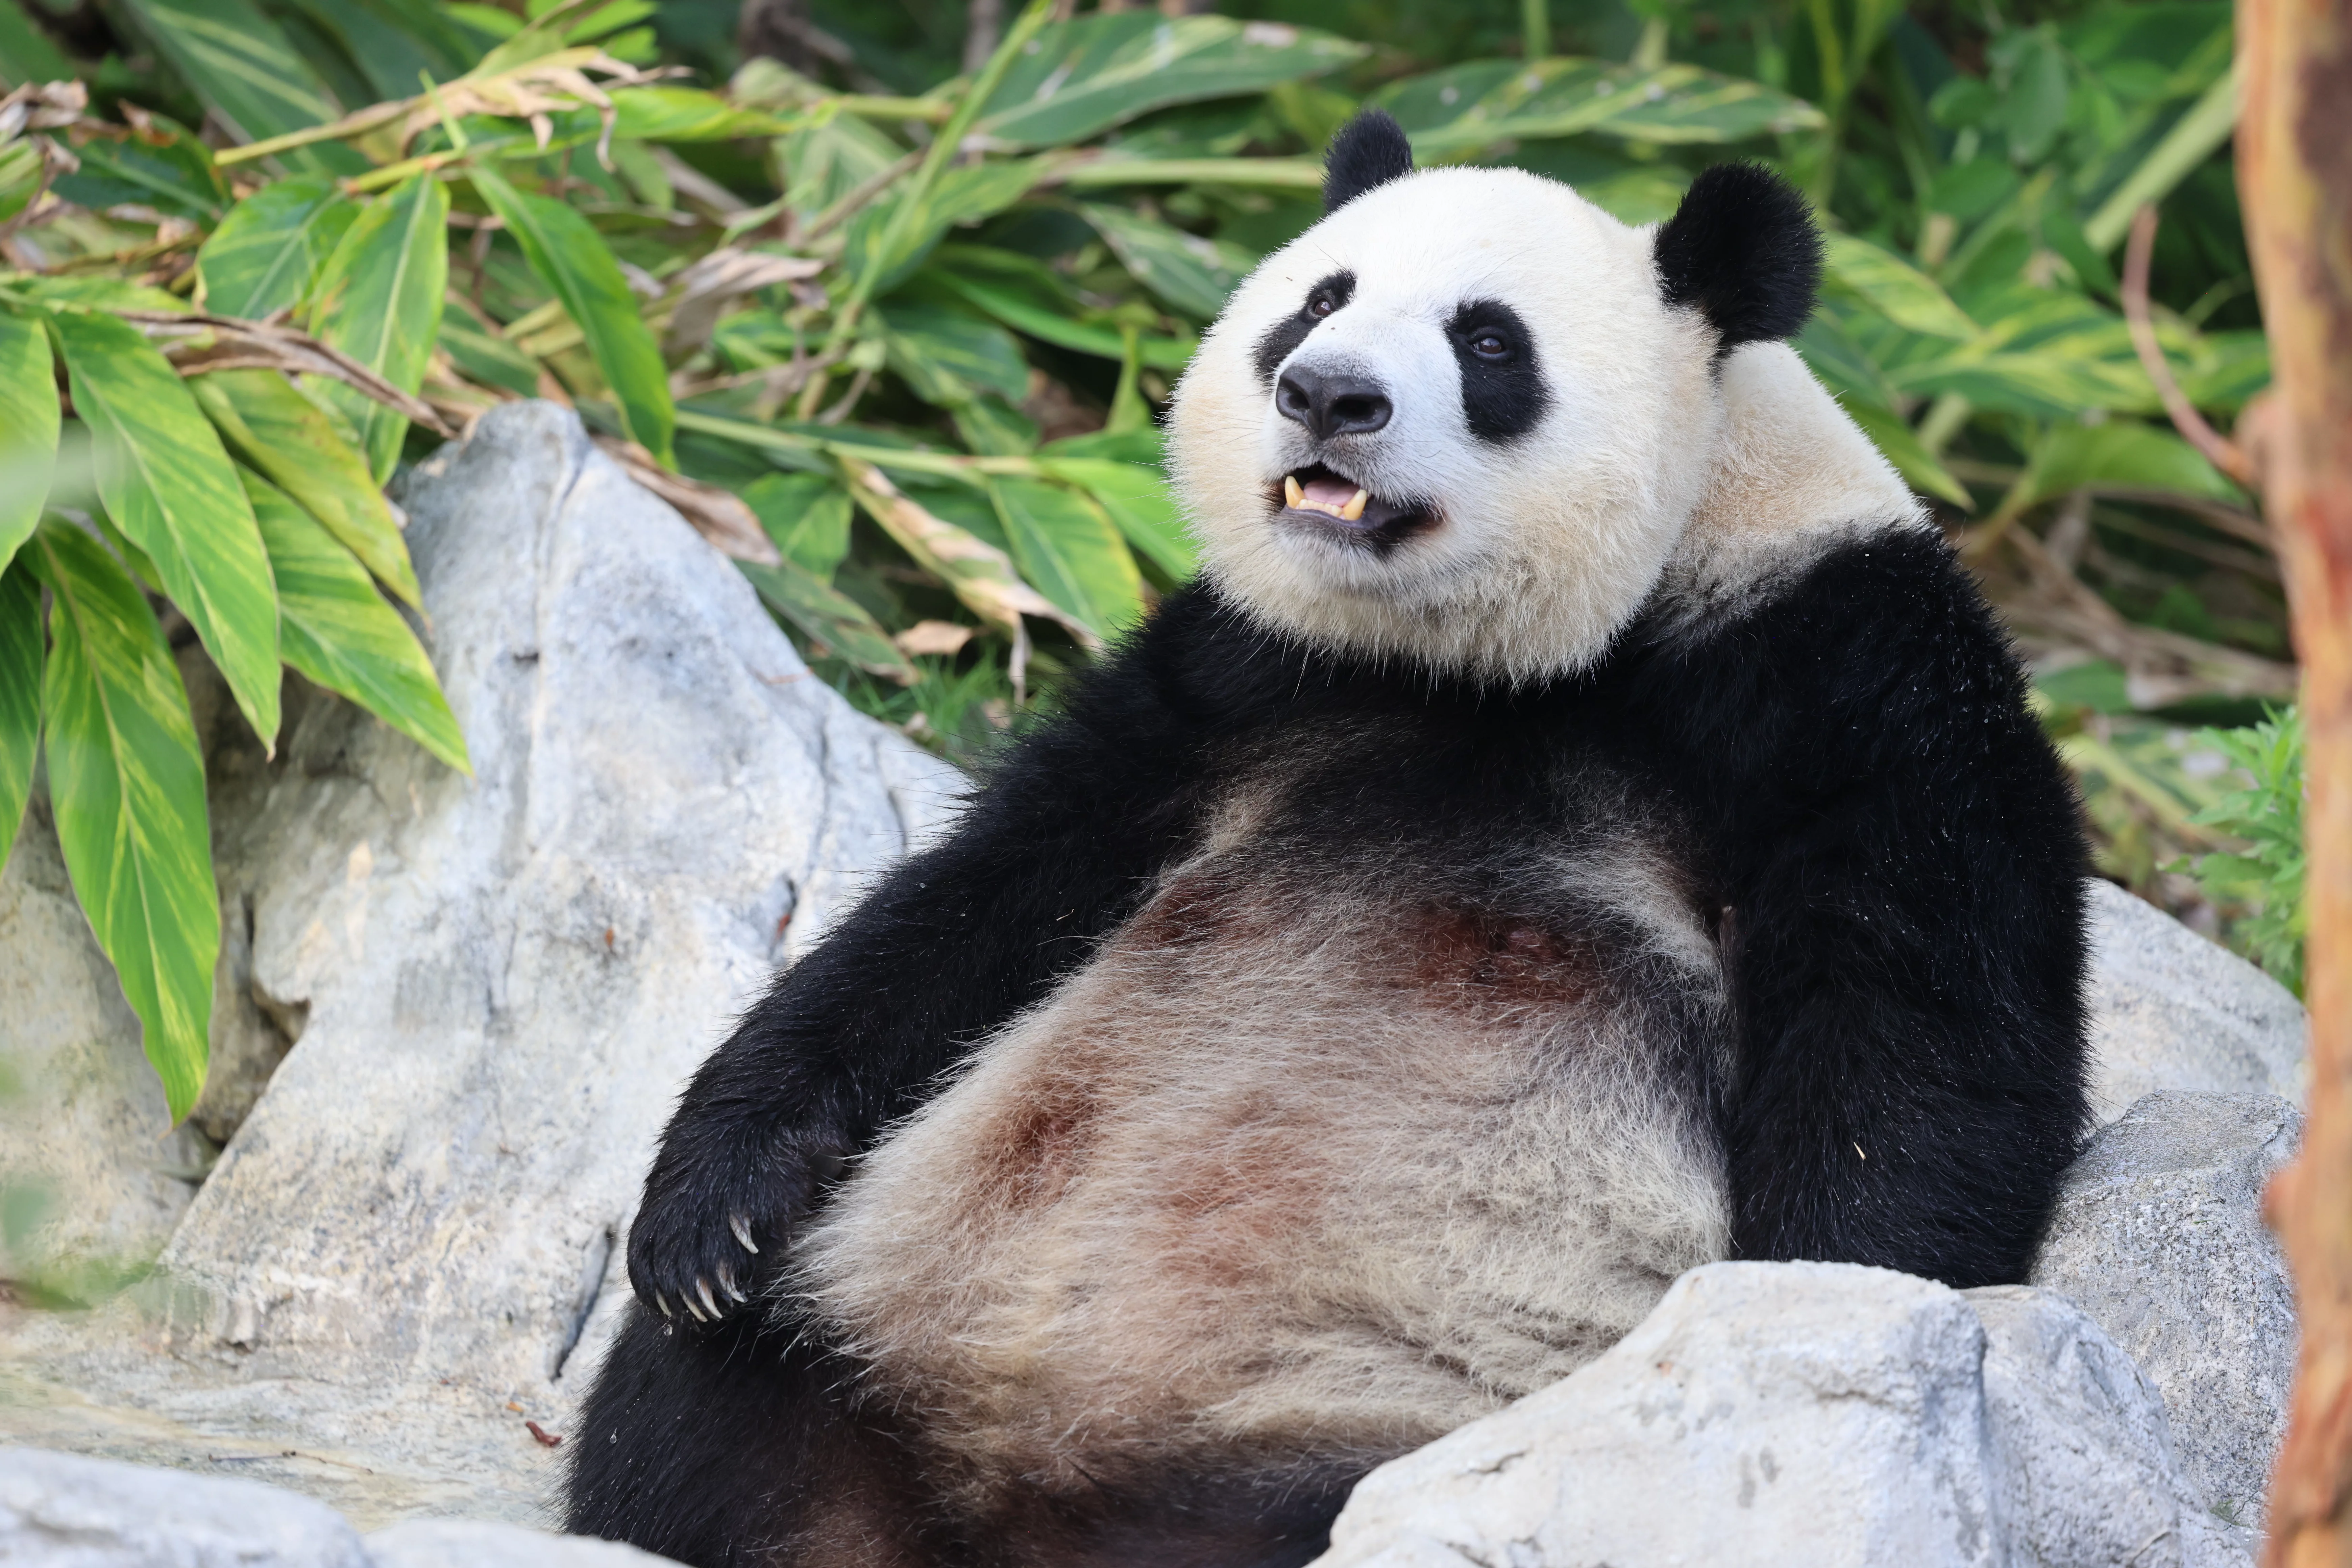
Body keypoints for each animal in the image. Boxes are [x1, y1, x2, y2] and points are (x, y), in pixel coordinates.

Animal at [565, 110, 2090, 1568]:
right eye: (1318, 299)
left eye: (1489, 341)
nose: (1326, 395)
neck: (1502, 666)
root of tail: (1014, 1519)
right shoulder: (1239, 676)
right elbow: (987, 896)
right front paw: (710, 1210)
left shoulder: (1848, 676)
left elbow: (1914, 1058)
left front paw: (1795, 1324)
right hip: (861, 1321)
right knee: (699, 1415)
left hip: (1379, 1426)